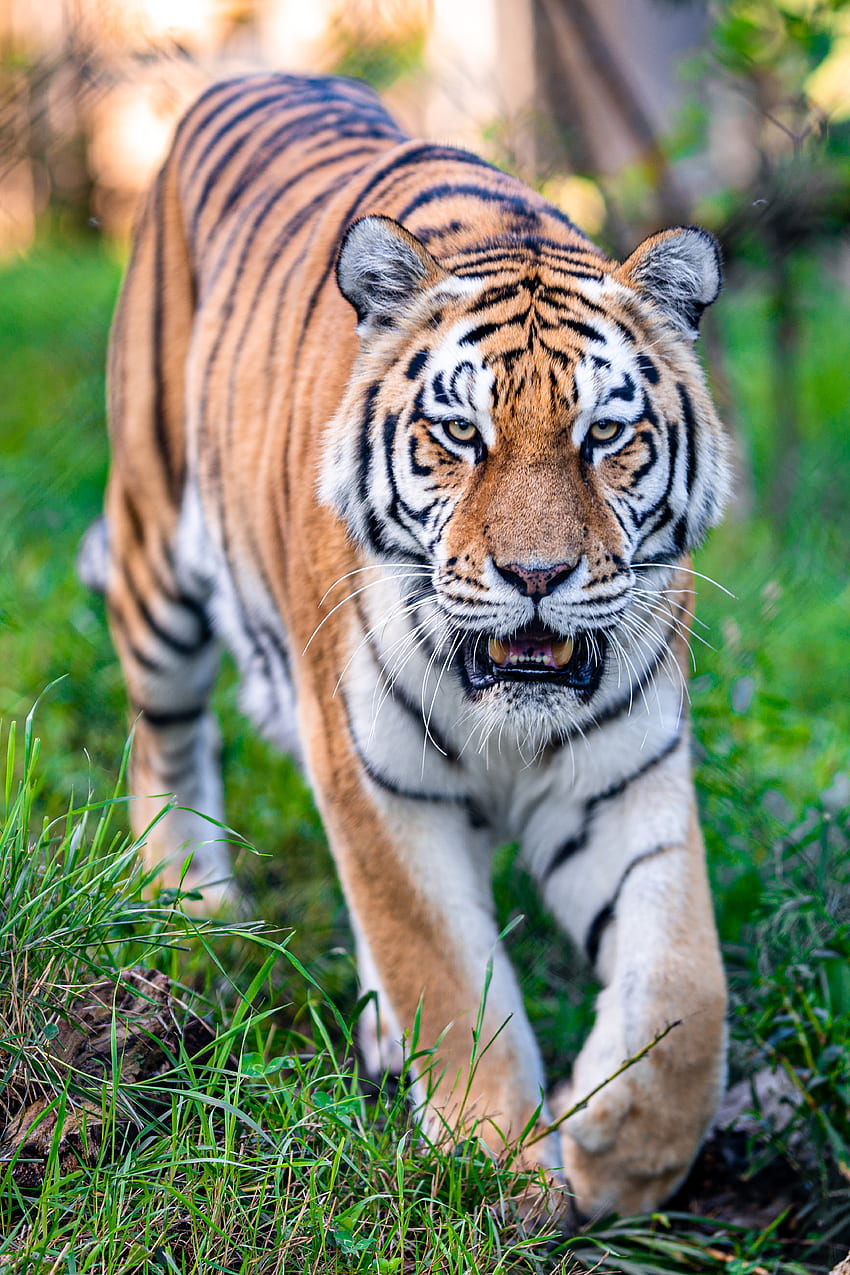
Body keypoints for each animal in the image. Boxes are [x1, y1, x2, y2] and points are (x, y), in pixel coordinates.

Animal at [81, 72, 734, 1224]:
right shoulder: (372, 772)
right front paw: (496, 1160)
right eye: (461, 434)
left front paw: (617, 1152)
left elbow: (685, 985)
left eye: (604, 437)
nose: (535, 576)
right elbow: (443, 966)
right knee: (163, 734)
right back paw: (189, 903)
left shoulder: (627, 777)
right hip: (156, 539)